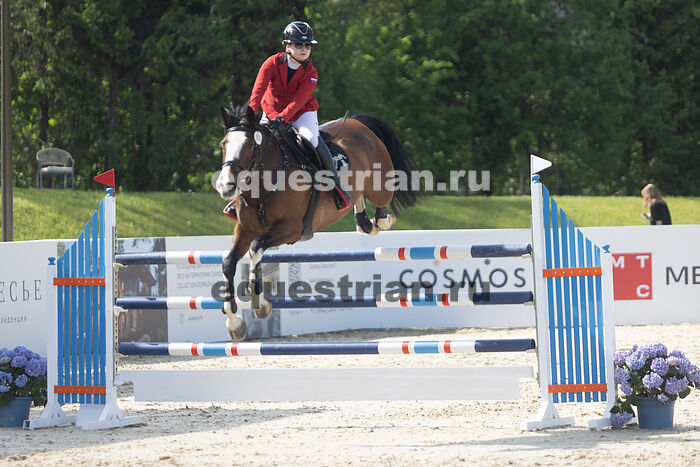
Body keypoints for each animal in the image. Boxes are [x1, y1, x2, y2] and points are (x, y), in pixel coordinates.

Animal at [216, 104, 418, 340]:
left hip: (379, 185)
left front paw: (260, 303)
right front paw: (234, 323)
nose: (225, 186)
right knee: (361, 209)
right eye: (223, 144)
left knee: (382, 202)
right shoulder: (245, 229)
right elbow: (229, 262)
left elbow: (256, 248)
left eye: (248, 145)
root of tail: (358, 122)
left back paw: (382, 220)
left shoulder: (291, 228)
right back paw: (362, 219)